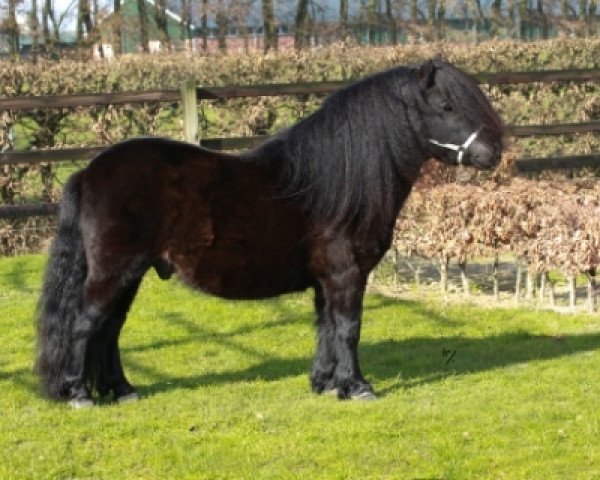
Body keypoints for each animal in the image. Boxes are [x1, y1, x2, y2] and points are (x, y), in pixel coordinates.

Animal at [34, 58, 502, 406]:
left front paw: (325, 383)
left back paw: (121, 390)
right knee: (85, 323)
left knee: (108, 329)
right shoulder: (347, 274)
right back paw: (79, 394)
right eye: (446, 105)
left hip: (129, 274)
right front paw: (357, 387)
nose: (493, 153)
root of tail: (88, 172)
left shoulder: (326, 280)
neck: (339, 182)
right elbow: (348, 328)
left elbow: (326, 327)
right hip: (113, 272)